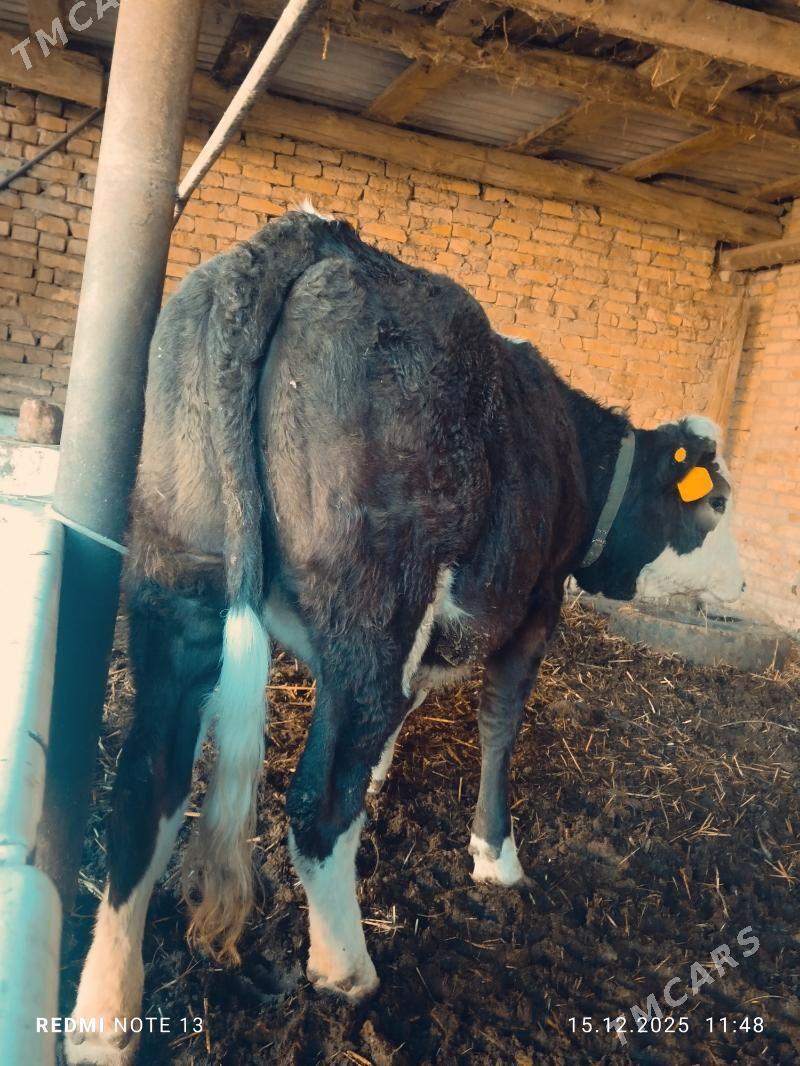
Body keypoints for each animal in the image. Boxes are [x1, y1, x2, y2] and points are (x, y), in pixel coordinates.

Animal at [66, 210, 741, 1064]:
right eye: (713, 503)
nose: (738, 587)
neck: (576, 455)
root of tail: (314, 235)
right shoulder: (533, 608)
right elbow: (498, 726)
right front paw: (497, 857)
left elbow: (401, 717)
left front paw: (384, 775)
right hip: (373, 600)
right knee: (316, 801)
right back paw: (347, 968)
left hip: (178, 571)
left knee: (144, 785)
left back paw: (104, 1021)